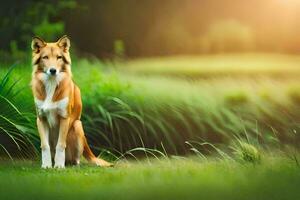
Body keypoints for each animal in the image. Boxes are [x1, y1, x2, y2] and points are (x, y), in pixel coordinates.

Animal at [30, 36, 112, 169]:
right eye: (45, 57)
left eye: (59, 57)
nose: (53, 70)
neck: (51, 84)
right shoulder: (41, 119)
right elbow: (45, 145)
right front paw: (46, 165)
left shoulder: (64, 117)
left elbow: (60, 145)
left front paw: (59, 166)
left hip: (77, 125)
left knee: (75, 159)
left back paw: (69, 163)